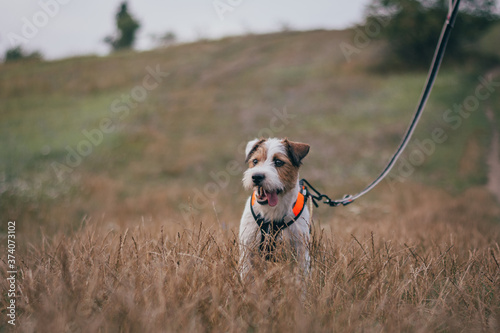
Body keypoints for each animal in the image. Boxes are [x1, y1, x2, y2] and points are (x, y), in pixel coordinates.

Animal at [239, 136, 312, 276]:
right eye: (255, 161)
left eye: (278, 162)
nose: (256, 176)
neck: (271, 212)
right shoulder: (247, 249)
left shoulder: (300, 251)